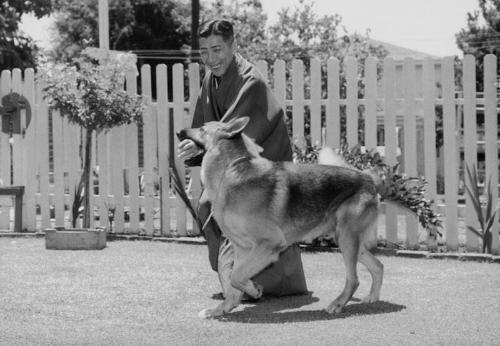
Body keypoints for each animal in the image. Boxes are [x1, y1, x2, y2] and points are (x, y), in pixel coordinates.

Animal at [179, 117, 382, 318]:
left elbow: (237, 276)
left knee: (354, 279)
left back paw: (337, 304)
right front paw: (223, 308)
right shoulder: (242, 249)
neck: (229, 170)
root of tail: (367, 178)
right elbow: (234, 281)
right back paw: (372, 297)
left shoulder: (269, 244)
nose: (179, 132)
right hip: (347, 241)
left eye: (202, 128)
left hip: (347, 240)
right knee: (378, 265)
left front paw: (253, 290)